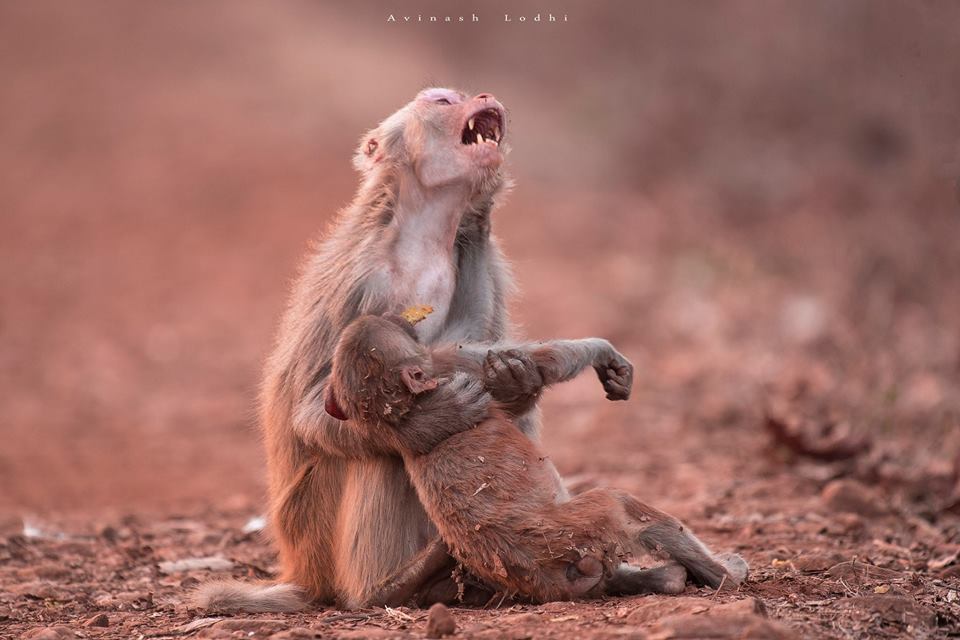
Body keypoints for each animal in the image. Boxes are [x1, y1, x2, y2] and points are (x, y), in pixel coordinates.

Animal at [321, 314, 749, 604]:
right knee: (619, 504)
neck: (403, 410)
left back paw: (668, 579)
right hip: (577, 529)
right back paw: (725, 574)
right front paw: (602, 350)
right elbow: (546, 361)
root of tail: (542, 572)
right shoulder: (447, 365)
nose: (396, 315)